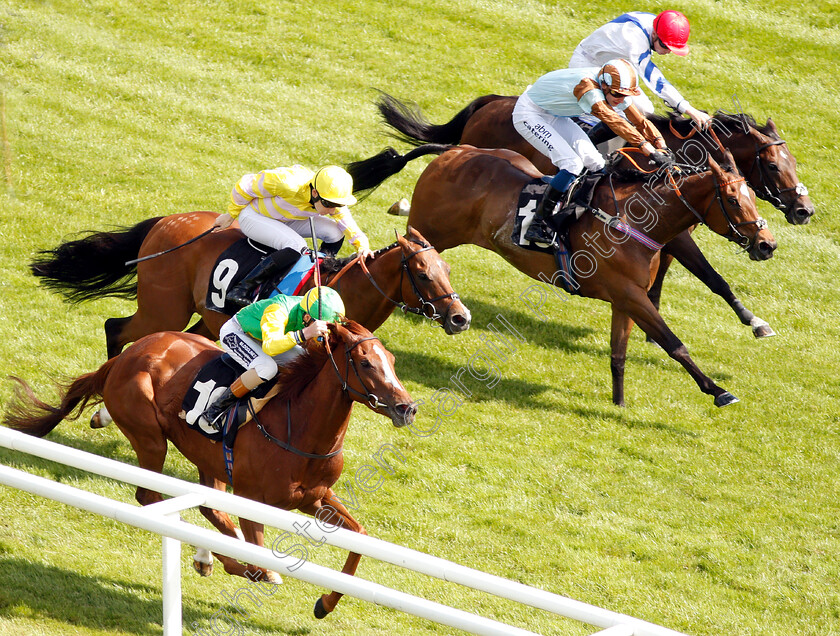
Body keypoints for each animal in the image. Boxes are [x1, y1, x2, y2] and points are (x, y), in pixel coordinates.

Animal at [3, 320, 416, 620]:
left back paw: (209, 555)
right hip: (150, 438)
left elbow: (358, 538)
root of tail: (126, 356)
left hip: (208, 461)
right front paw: (256, 570)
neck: (297, 425)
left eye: (393, 362)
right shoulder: (252, 499)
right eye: (365, 363)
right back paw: (213, 557)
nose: (407, 408)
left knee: (206, 507)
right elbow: (257, 555)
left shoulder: (314, 497)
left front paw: (325, 604)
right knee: (151, 497)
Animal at [29, 217, 470, 358]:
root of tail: (166, 222)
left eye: (447, 268)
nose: (460, 318)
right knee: (115, 329)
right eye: (424, 274)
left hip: (206, 320)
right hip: (161, 310)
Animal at [346, 142, 776, 404]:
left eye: (753, 196)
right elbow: (675, 344)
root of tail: (454, 149)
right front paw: (718, 391)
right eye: (733, 199)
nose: (767, 244)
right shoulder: (631, 294)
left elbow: (619, 353)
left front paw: (619, 403)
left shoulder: (626, 298)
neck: (636, 221)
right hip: (428, 234)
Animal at [376, 93, 812, 338]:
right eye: (774, 166)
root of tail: (489, 103)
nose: (804, 210)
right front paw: (755, 322)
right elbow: (712, 276)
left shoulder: (672, 229)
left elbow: (674, 273)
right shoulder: (674, 228)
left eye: (793, 162)